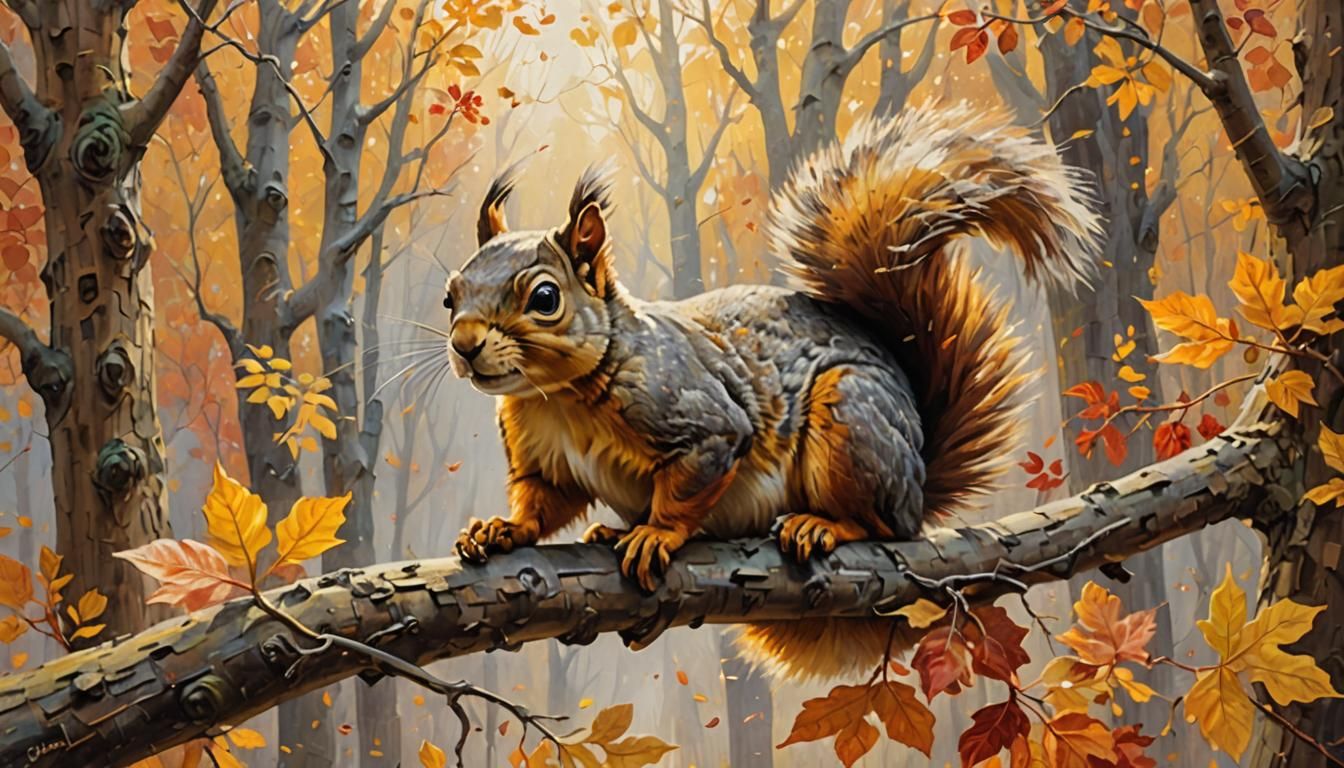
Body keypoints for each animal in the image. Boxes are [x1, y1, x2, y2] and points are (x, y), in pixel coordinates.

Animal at [449, 101, 1100, 680]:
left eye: (545, 298)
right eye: (451, 292)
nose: (464, 344)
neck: (556, 396)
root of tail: (916, 480)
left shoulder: (702, 421)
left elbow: (691, 480)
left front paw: (658, 532)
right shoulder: (542, 458)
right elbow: (543, 500)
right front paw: (502, 530)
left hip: (851, 423)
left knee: (887, 526)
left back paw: (822, 526)